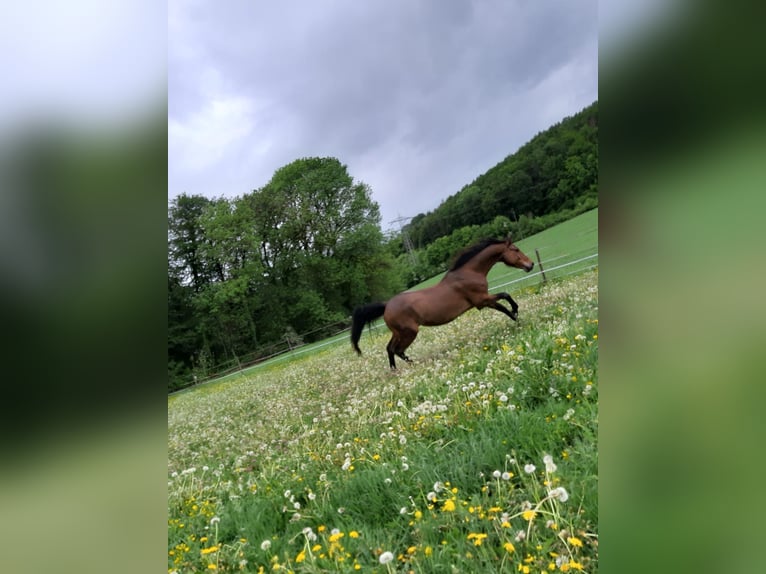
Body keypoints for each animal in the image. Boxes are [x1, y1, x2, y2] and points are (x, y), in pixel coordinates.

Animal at [352, 238, 536, 368]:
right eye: (515, 249)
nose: (531, 264)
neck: (469, 273)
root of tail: (387, 306)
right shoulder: (482, 300)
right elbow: (505, 299)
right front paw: (516, 315)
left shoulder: (483, 301)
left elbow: (504, 302)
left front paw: (516, 317)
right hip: (409, 332)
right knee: (397, 350)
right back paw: (414, 365)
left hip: (398, 333)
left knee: (390, 349)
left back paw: (397, 370)